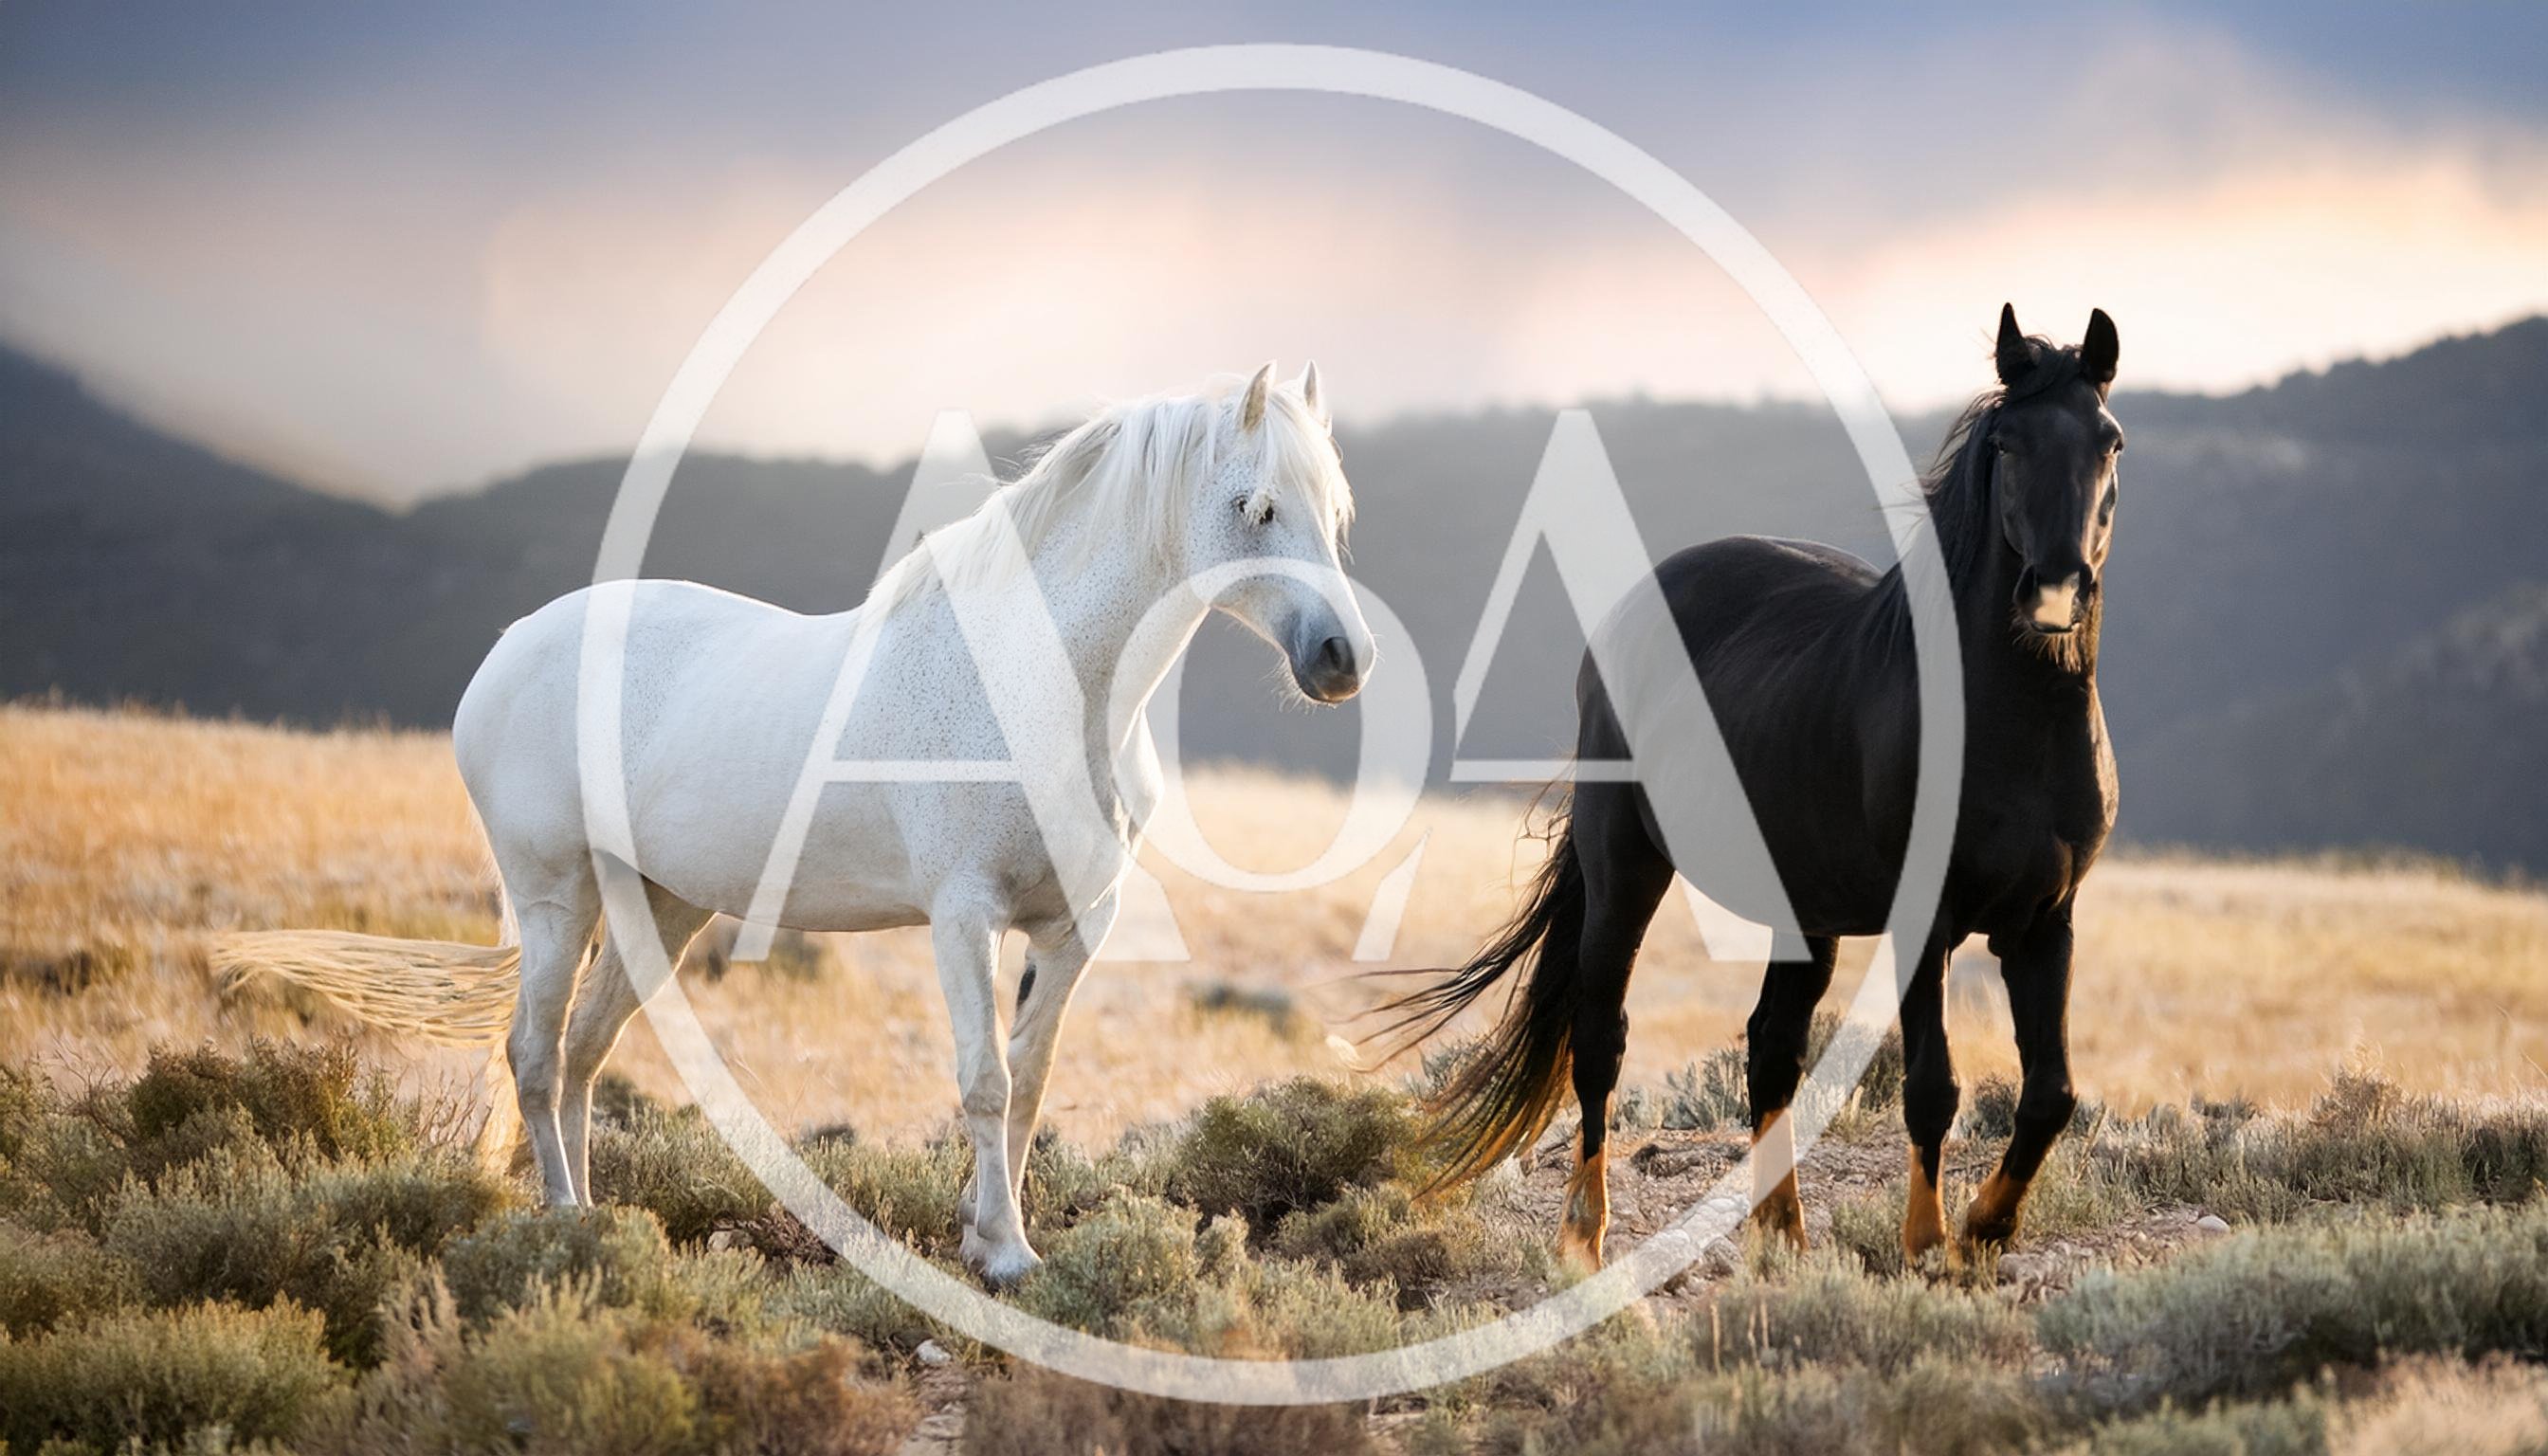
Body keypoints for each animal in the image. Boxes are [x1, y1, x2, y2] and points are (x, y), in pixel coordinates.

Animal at [216, 362, 1371, 1286]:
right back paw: (565, 1227)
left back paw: (594, 1226)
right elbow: (985, 1082)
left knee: (584, 1056)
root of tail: (507, 650)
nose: (1341, 659)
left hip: (658, 911)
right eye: (1256, 506)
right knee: (534, 1057)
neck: (1047, 687)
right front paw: (1003, 1255)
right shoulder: (965, 916)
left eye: (1335, 513)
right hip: (556, 901)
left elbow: (1031, 1086)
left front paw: (984, 1229)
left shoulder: (1074, 927)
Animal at [1376, 305, 2124, 1269]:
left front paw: (1986, 1232)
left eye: (2109, 441)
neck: (2012, 730)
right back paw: (1585, 1233)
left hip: (1804, 913)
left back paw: (1783, 1232)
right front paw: (1927, 1245)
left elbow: (2050, 1094)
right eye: (2008, 442)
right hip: (1625, 870)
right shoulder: (1926, 925)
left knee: (1770, 1048)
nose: (2056, 591)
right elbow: (1932, 1087)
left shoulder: (2044, 924)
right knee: (1601, 1037)